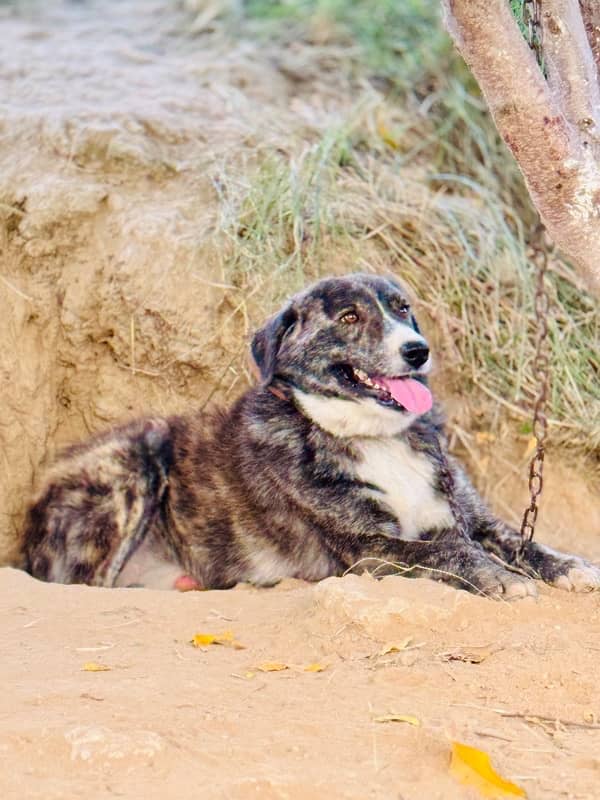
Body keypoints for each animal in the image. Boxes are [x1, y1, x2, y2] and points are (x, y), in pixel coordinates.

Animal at [23, 272, 600, 596]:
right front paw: (497, 576)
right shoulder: (369, 550)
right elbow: (447, 552)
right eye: (349, 317)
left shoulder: (469, 515)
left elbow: (518, 540)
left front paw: (569, 566)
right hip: (135, 459)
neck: (374, 437)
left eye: (403, 308)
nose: (418, 350)